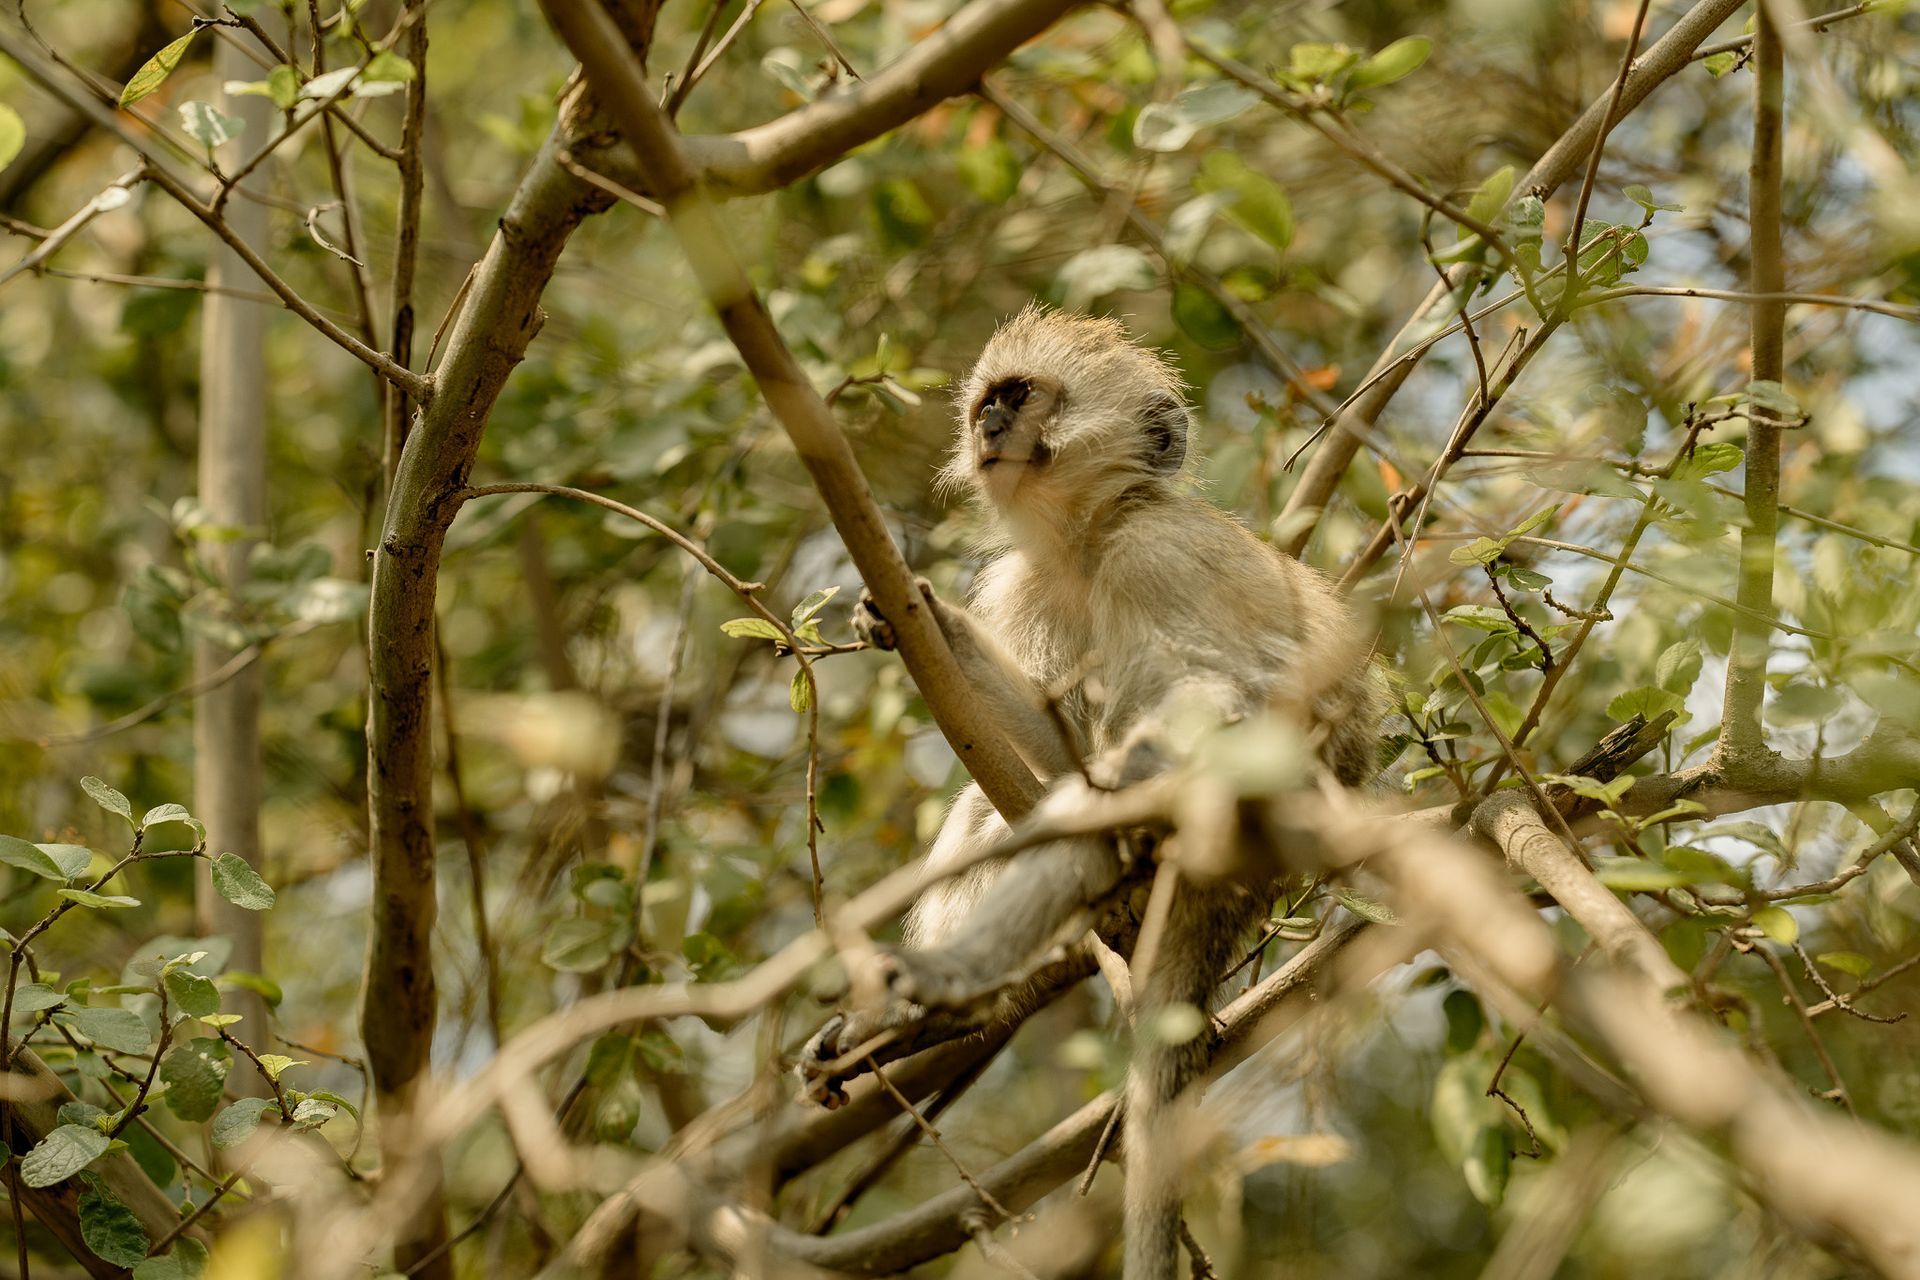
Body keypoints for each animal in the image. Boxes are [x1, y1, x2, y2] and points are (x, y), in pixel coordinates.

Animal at [809, 307, 1383, 1280]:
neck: (1089, 540)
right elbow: (1049, 747)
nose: (989, 424)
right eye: (990, 399)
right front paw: (925, 618)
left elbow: (1234, 699)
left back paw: (949, 982)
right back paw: (936, 1015)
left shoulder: (1160, 553)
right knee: (998, 803)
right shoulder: (1027, 585)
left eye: (1021, 395)